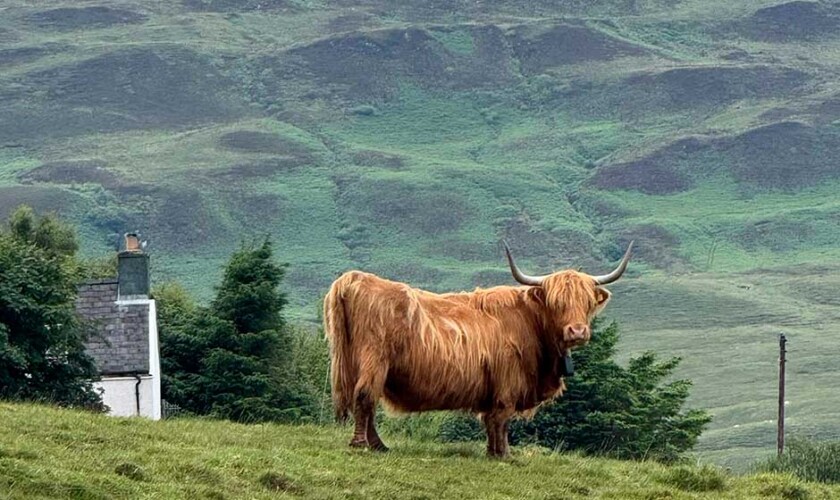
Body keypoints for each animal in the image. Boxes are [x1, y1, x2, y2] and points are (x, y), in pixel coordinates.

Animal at [323, 241, 633, 457]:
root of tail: (355, 278)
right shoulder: (508, 384)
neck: (531, 323)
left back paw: (379, 445)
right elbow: (501, 420)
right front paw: (505, 454)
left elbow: (490, 421)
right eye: (557, 302)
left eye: (587, 302)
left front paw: (493, 451)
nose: (577, 331)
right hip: (374, 359)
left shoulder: (493, 388)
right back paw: (362, 444)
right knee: (365, 397)